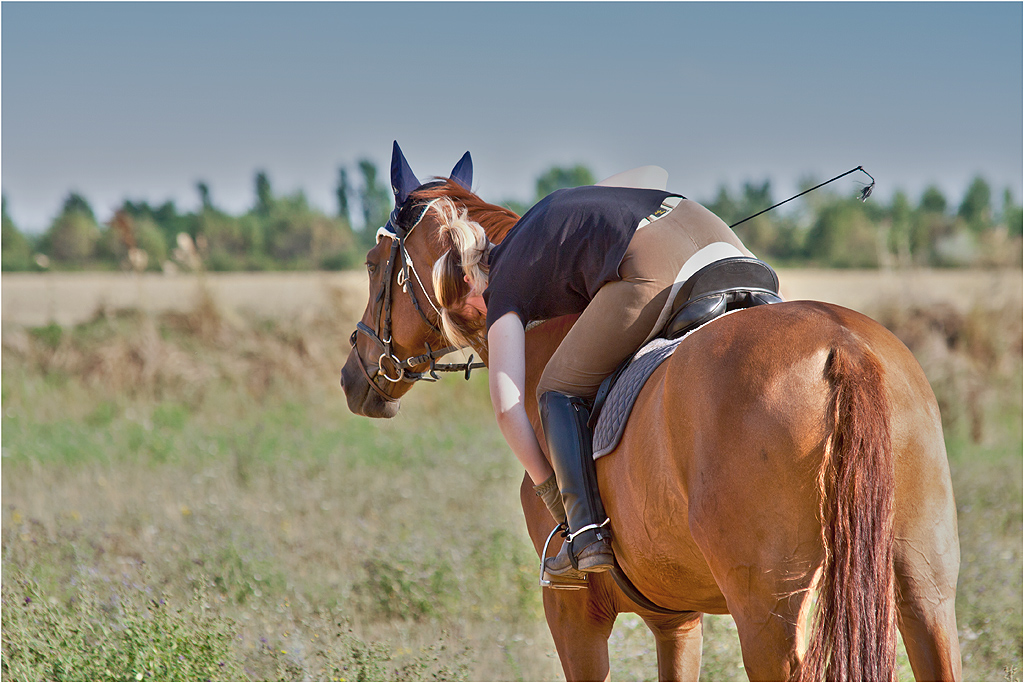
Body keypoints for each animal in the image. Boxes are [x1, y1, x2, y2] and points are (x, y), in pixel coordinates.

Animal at [342, 147, 958, 679]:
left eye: (373, 265)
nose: (354, 376)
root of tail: (843, 348)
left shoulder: (572, 616)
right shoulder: (676, 618)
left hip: (773, 617)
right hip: (922, 590)